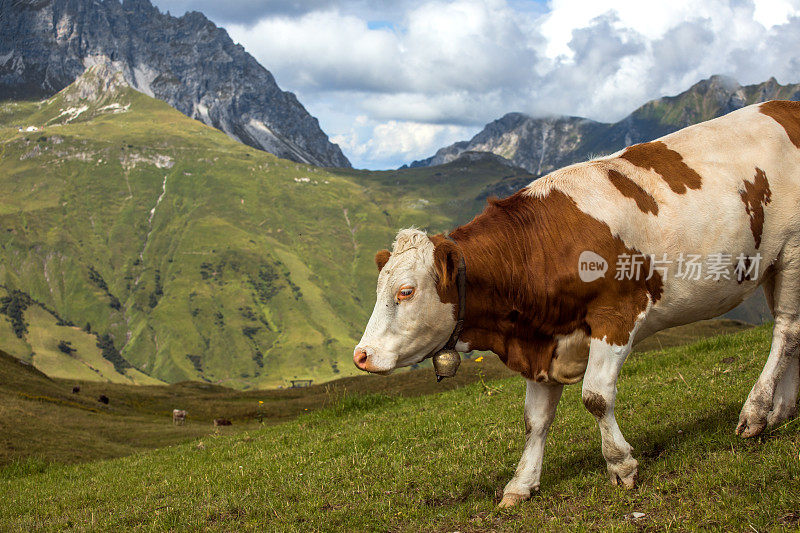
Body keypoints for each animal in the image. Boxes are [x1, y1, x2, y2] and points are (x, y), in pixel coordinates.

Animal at [354, 101, 800, 508]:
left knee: (787, 329)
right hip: (771, 264)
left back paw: (757, 413)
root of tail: (783, 105)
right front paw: (521, 484)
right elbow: (534, 420)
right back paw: (782, 411)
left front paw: (621, 464)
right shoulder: (540, 341)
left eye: (406, 291)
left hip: (792, 250)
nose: (361, 355)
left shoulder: (615, 315)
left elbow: (595, 397)